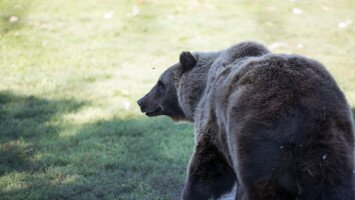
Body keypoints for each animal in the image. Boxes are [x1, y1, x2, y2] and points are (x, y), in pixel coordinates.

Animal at [138, 41, 354, 199]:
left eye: (160, 83)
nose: (141, 101)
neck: (201, 88)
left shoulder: (215, 123)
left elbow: (207, 166)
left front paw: (191, 193)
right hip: (332, 136)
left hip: (260, 139)